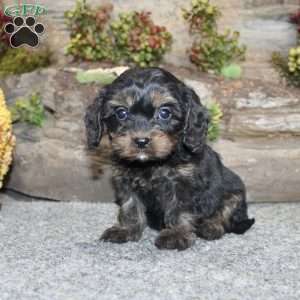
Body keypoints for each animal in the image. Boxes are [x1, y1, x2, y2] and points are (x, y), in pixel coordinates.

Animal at [84, 67, 253, 250]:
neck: (151, 163)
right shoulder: (125, 182)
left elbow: (178, 209)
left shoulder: (183, 183)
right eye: (121, 113)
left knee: (224, 215)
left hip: (234, 194)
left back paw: (210, 226)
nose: (141, 141)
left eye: (165, 113)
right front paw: (126, 230)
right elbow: (130, 206)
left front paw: (176, 234)